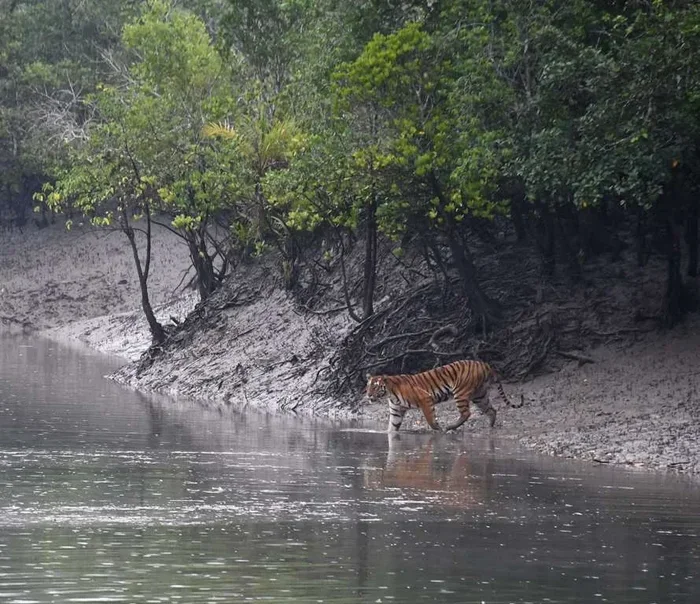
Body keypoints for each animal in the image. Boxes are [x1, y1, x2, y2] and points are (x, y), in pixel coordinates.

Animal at [365, 360, 523, 432]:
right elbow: (392, 427)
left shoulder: (425, 398)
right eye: (368, 386)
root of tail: (485, 364)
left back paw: (449, 427)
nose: (368, 395)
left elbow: (430, 419)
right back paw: (490, 427)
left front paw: (438, 429)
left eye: (375, 387)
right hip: (480, 396)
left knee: (466, 413)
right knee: (491, 410)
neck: (389, 393)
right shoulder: (396, 411)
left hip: (460, 392)